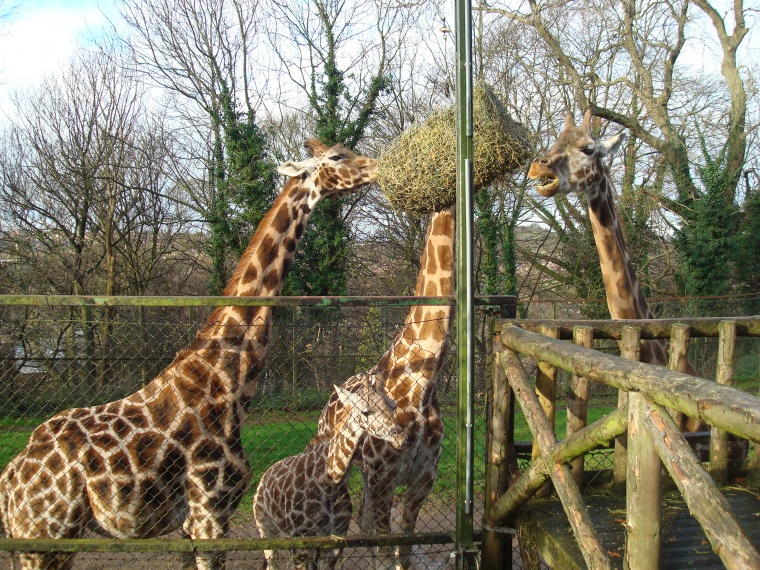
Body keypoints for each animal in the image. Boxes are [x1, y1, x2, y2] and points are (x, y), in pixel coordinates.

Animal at [0, 139, 377, 570]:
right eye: (335, 157)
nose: (375, 166)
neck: (226, 379)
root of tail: (9, 482)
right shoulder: (210, 510)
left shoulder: (191, 522)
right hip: (46, 535)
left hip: (45, 538)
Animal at [253, 372, 407, 570]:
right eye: (365, 411)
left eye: (393, 405)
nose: (401, 438)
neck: (328, 481)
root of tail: (264, 477)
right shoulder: (300, 539)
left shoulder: (334, 539)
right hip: (266, 530)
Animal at [317, 206, 455, 570]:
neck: (424, 383)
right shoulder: (384, 478)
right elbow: (385, 547)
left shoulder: (423, 478)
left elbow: (403, 550)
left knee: (363, 522)